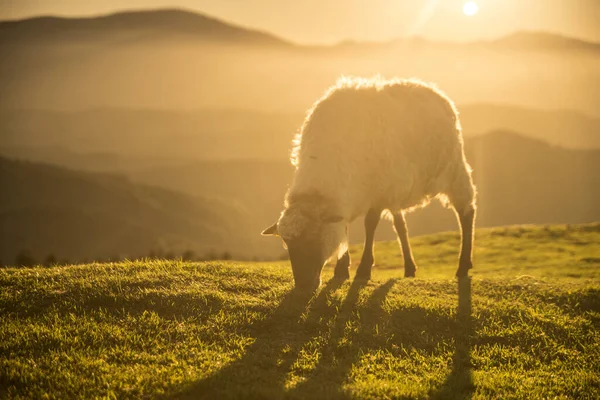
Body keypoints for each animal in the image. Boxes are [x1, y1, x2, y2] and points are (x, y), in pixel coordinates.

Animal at [260, 76, 476, 290]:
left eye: (314, 237)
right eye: (287, 244)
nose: (303, 286)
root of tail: (429, 87)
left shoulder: (378, 191)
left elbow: (369, 224)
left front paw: (363, 269)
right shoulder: (352, 199)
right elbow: (345, 230)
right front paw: (341, 269)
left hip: (454, 169)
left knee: (466, 212)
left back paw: (463, 265)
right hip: (397, 187)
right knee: (401, 226)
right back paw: (409, 268)